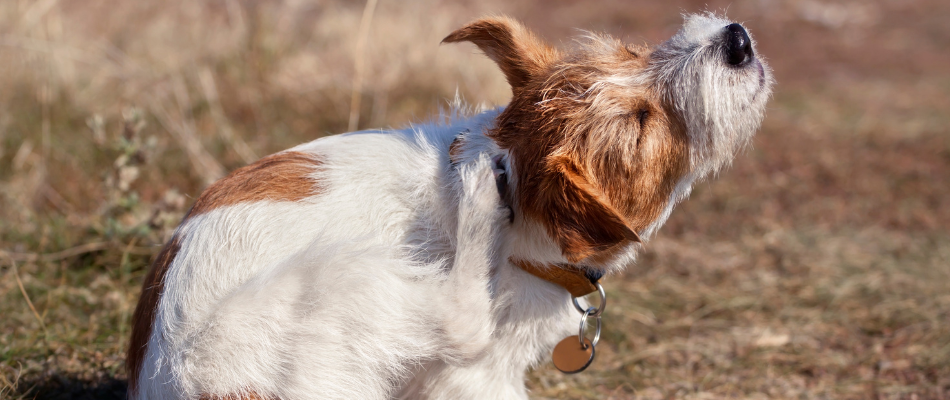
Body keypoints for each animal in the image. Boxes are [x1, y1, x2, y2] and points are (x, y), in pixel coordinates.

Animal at [126, 12, 772, 400]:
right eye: (641, 122)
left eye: (633, 51)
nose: (736, 39)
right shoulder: (478, 382)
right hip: (342, 277)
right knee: (460, 321)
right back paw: (478, 198)